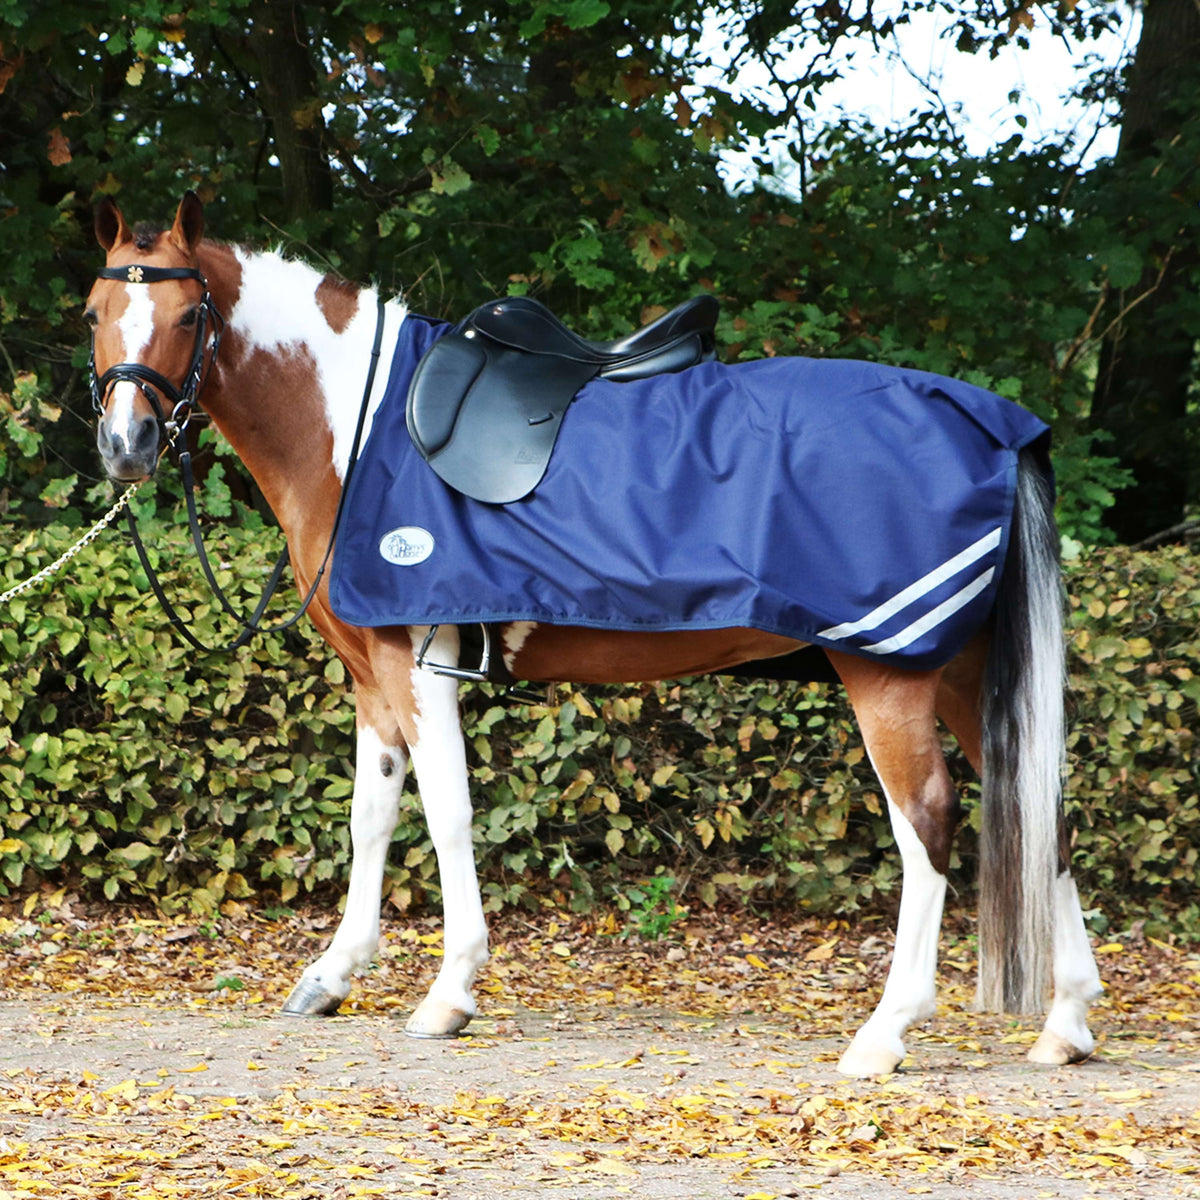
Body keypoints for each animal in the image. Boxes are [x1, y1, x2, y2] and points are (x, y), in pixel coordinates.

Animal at [85, 192, 1102, 1077]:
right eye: (97, 309)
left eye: (188, 315)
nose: (126, 447)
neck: (353, 428)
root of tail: (998, 425)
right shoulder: (372, 675)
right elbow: (370, 817)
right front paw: (332, 976)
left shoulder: (420, 667)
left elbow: (448, 816)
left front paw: (448, 995)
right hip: (964, 672)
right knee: (1042, 808)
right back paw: (1064, 1024)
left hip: (887, 672)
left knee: (925, 821)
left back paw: (886, 1032)